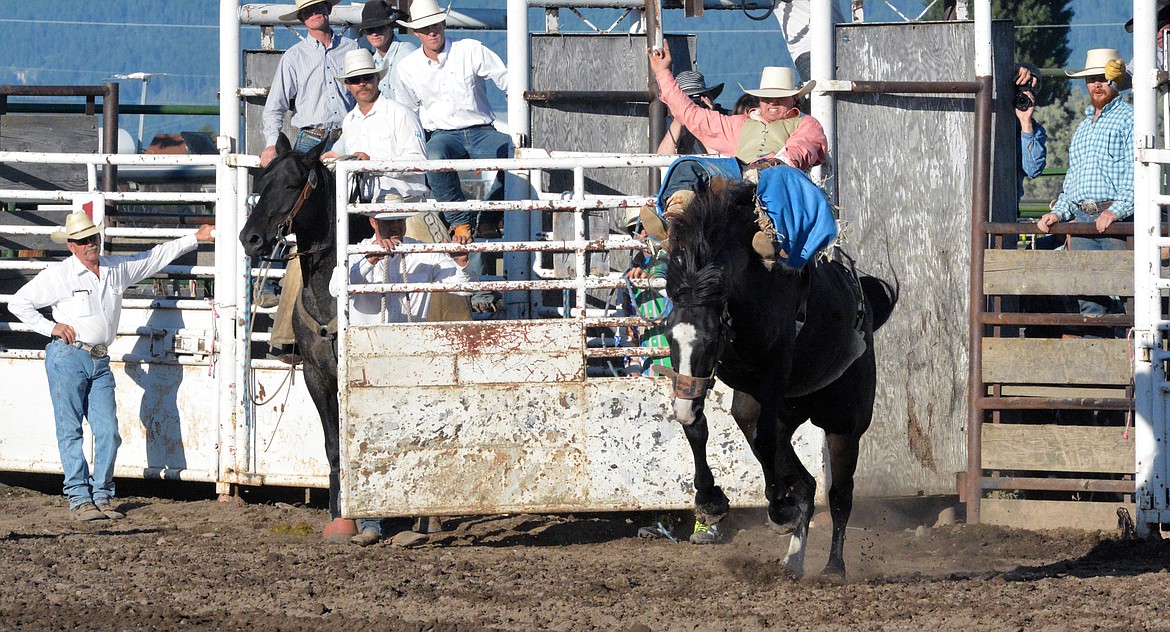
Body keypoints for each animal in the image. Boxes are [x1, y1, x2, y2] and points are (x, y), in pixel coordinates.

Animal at [659, 177, 893, 578]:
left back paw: (833, 567)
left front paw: (778, 511)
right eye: (670, 335)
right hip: (778, 411)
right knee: (806, 483)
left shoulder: (774, 373)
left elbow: (765, 441)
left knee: (839, 494)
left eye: (710, 339)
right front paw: (710, 500)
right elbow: (695, 425)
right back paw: (793, 560)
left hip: (844, 422)